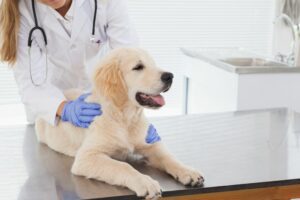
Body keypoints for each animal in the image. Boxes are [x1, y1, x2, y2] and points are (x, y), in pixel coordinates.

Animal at [34, 47, 204, 199]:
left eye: (153, 64)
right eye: (138, 67)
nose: (170, 76)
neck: (125, 119)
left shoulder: (150, 145)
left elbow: (168, 157)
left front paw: (188, 171)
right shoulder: (86, 157)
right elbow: (123, 166)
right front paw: (145, 182)